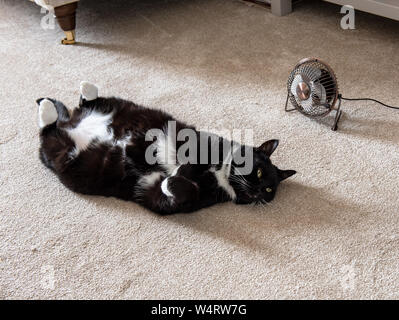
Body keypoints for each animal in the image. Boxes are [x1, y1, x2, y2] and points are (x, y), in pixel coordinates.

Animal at [37, 82, 296, 215]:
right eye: (259, 172)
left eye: (269, 190)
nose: (259, 191)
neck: (220, 175)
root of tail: (71, 122)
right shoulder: (199, 141)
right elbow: (190, 160)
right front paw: (181, 170)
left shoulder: (168, 199)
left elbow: (180, 191)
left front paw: (172, 180)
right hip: (117, 107)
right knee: (79, 107)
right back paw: (66, 97)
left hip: (64, 154)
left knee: (50, 132)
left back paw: (50, 109)